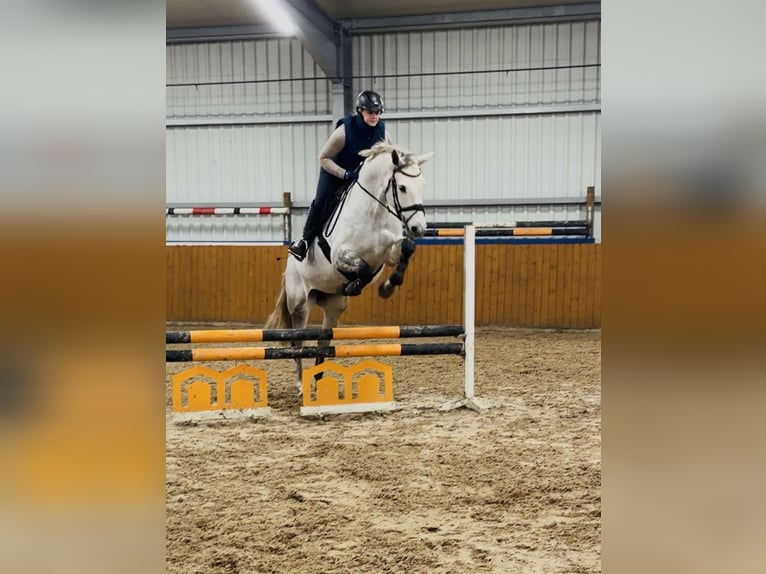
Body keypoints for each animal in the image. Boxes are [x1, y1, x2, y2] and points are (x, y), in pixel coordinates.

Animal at [265, 142, 433, 389]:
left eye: (422, 185)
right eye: (402, 187)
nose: (419, 228)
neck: (374, 212)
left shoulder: (389, 252)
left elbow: (407, 248)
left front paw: (388, 287)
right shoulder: (340, 255)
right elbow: (362, 268)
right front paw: (355, 285)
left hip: (333, 306)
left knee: (323, 342)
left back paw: (319, 381)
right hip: (299, 303)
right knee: (297, 342)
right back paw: (300, 382)